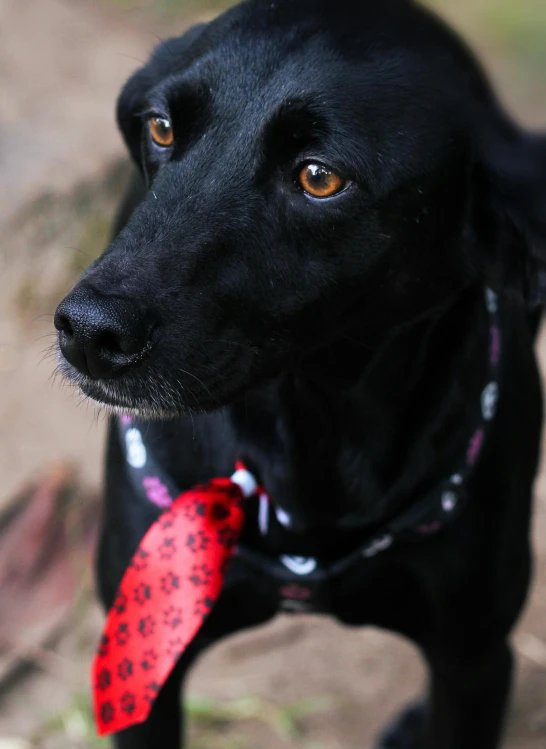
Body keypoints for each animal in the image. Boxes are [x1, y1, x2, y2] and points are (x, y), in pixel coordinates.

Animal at [54, 0, 544, 744]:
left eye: (319, 177)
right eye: (161, 128)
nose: (87, 332)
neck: (309, 434)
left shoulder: (475, 660)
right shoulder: (145, 660)